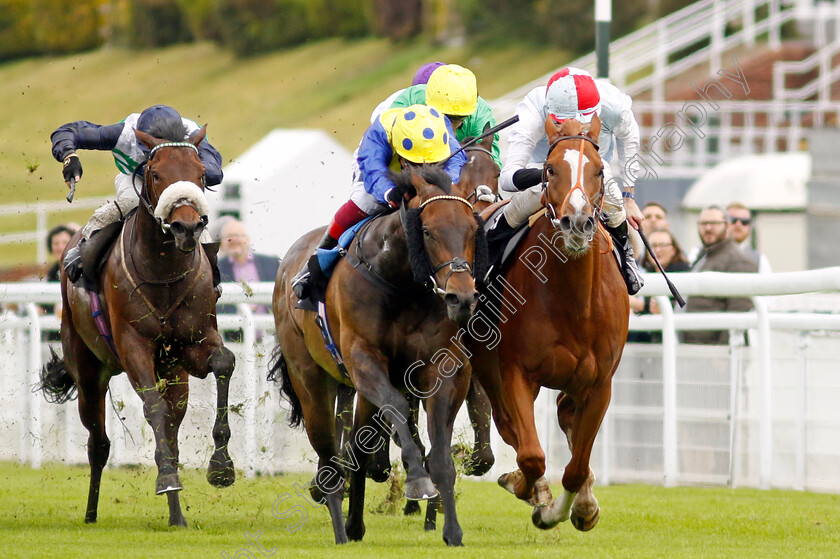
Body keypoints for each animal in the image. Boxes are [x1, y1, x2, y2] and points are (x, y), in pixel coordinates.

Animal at [39, 123, 235, 528]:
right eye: (156, 173)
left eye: (199, 174)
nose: (187, 227)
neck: (164, 272)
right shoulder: (133, 347)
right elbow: (152, 409)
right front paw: (167, 481)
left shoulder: (192, 345)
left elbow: (224, 363)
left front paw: (221, 466)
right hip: (88, 370)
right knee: (98, 443)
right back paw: (92, 513)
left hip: (174, 373)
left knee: (172, 428)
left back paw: (177, 514)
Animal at [272, 167, 486, 548]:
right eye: (427, 231)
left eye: (472, 230)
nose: (461, 298)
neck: (401, 282)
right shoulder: (364, 360)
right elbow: (398, 409)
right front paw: (416, 479)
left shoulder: (442, 367)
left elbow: (440, 450)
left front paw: (452, 531)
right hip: (311, 381)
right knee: (329, 458)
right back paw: (340, 531)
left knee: (357, 448)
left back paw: (355, 525)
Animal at [470, 117, 628, 532]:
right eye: (551, 169)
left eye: (599, 169)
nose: (578, 222)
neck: (574, 304)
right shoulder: (515, 372)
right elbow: (531, 454)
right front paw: (536, 495)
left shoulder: (600, 384)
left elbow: (576, 467)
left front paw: (579, 507)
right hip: (486, 367)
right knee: (510, 427)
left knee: (564, 414)